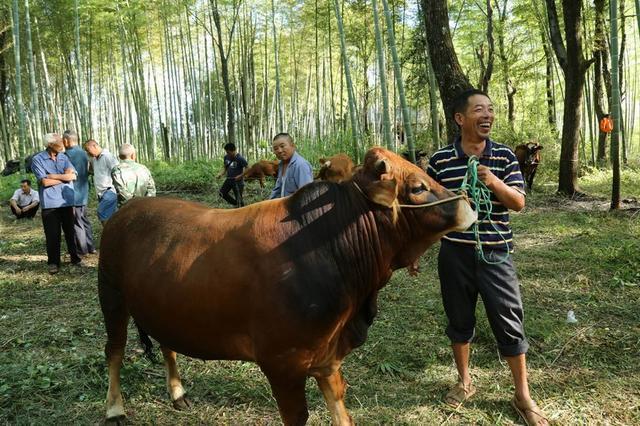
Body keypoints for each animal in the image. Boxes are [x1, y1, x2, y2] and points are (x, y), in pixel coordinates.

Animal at [97, 146, 472, 422]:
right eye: (418, 188)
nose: (468, 203)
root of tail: (128, 209)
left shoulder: (328, 356)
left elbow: (339, 407)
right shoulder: (282, 364)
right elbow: (297, 415)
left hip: (163, 306)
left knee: (167, 345)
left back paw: (178, 393)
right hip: (111, 296)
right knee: (114, 350)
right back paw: (114, 408)